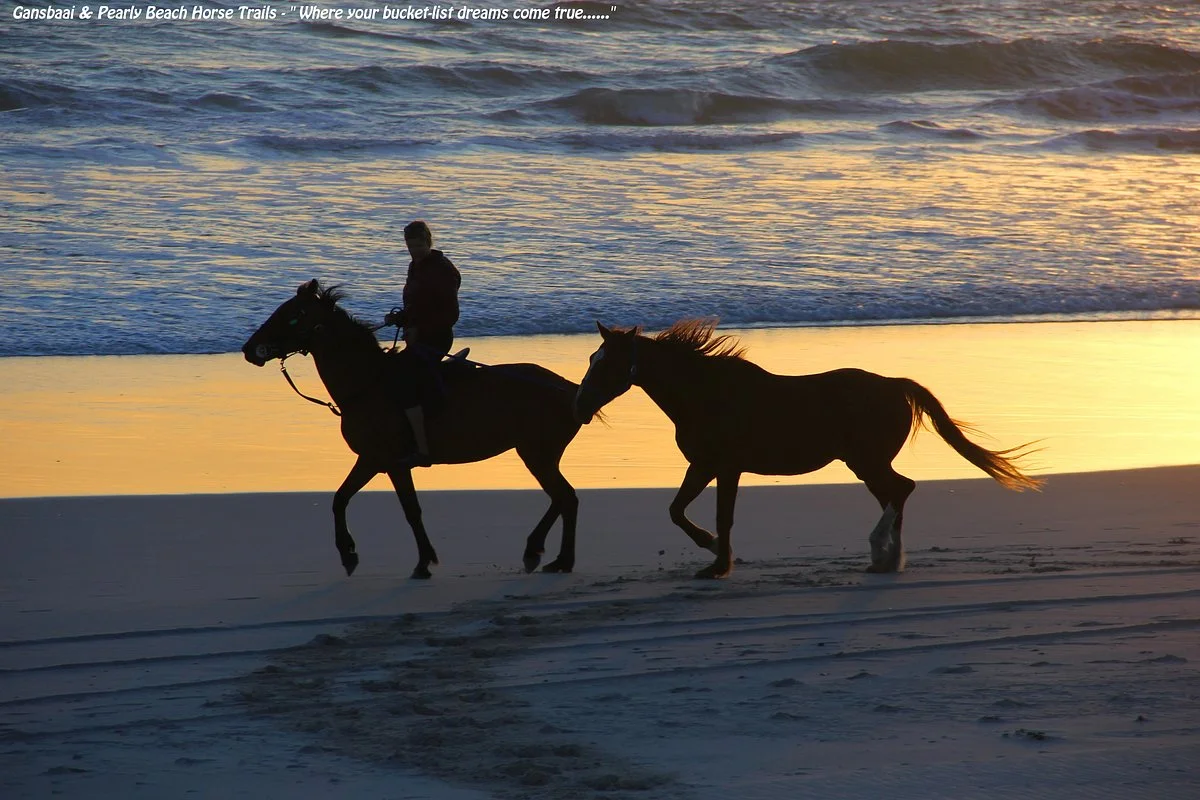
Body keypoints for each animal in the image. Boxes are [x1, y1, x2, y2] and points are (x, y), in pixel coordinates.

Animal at [242, 279, 584, 579]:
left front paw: (421, 563)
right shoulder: (371, 460)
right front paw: (349, 554)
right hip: (539, 454)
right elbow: (340, 499)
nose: (249, 349)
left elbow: (410, 510)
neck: (368, 384)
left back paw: (561, 559)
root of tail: (571, 388)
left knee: (566, 497)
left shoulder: (392, 463)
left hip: (537, 454)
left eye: (291, 315)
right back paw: (538, 551)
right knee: (560, 498)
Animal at [572, 319, 1041, 579]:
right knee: (895, 493)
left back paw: (882, 552)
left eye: (608, 363)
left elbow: (718, 517)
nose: (579, 405)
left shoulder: (724, 467)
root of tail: (895, 385)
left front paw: (717, 561)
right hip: (865, 464)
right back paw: (888, 560)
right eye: (592, 359)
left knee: (901, 490)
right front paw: (713, 553)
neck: (707, 393)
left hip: (867, 460)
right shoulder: (705, 466)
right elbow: (677, 510)